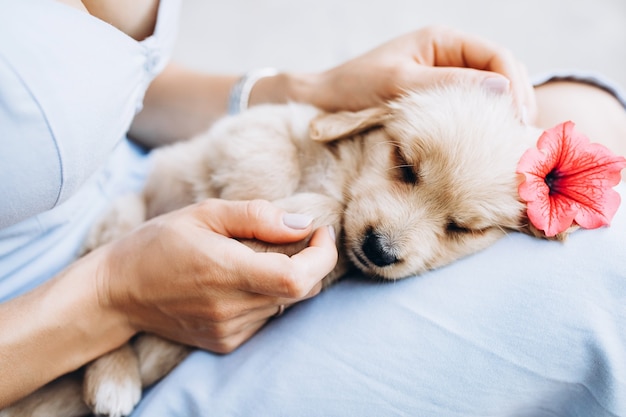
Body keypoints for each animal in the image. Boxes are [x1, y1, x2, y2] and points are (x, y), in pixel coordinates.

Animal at [0, 82, 556, 416]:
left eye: (461, 228)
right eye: (405, 166)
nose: (379, 250)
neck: (341, 175)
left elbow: (328, 222)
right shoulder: (258, 130)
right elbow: (270, 167)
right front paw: (256, 205)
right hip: (122, 216)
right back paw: (113, 382)